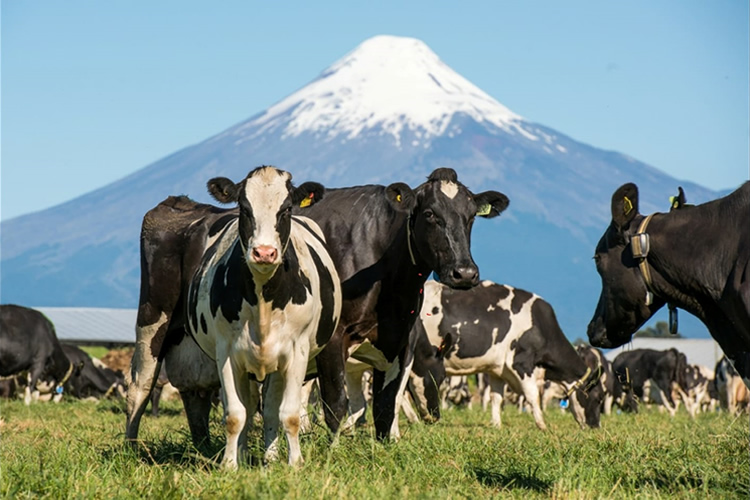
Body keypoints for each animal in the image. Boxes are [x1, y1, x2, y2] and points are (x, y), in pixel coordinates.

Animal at [125, 167, 512, 446]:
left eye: (470, 217)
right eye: (430, 214)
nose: (464, 272)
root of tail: (177, 203)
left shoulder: (399, 339)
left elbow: (384, 408)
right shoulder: (334, 337)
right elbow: (336, 404)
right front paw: (332, 451)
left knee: (197, 394)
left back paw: (205, 446)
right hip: (152, 322)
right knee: (140, 387)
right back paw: (131, 449)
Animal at [406, 282, 604, 430]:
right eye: (598, 398)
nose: (596, 427)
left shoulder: (497, 370)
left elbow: (496, 398)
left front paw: (496, 425)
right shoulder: (521, 363)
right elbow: (532, 396)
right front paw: (542, 426)